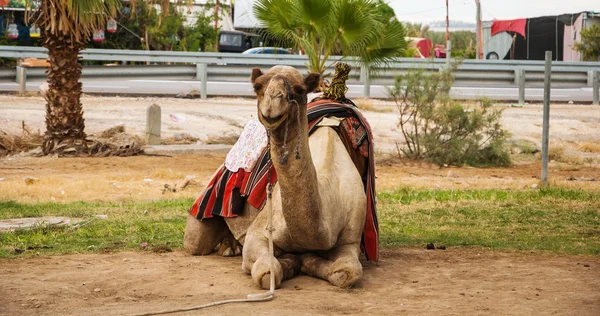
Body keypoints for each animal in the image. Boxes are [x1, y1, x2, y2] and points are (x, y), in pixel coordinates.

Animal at [185, 65, 368, 288]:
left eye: (299, 90)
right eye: (257, 86)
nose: (272, 104)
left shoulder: (351, 240)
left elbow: (347, 273)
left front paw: (308, 260)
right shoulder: (258, 233)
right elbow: (268, 271)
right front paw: (293, 261)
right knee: (196, 243)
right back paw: (229, 247)